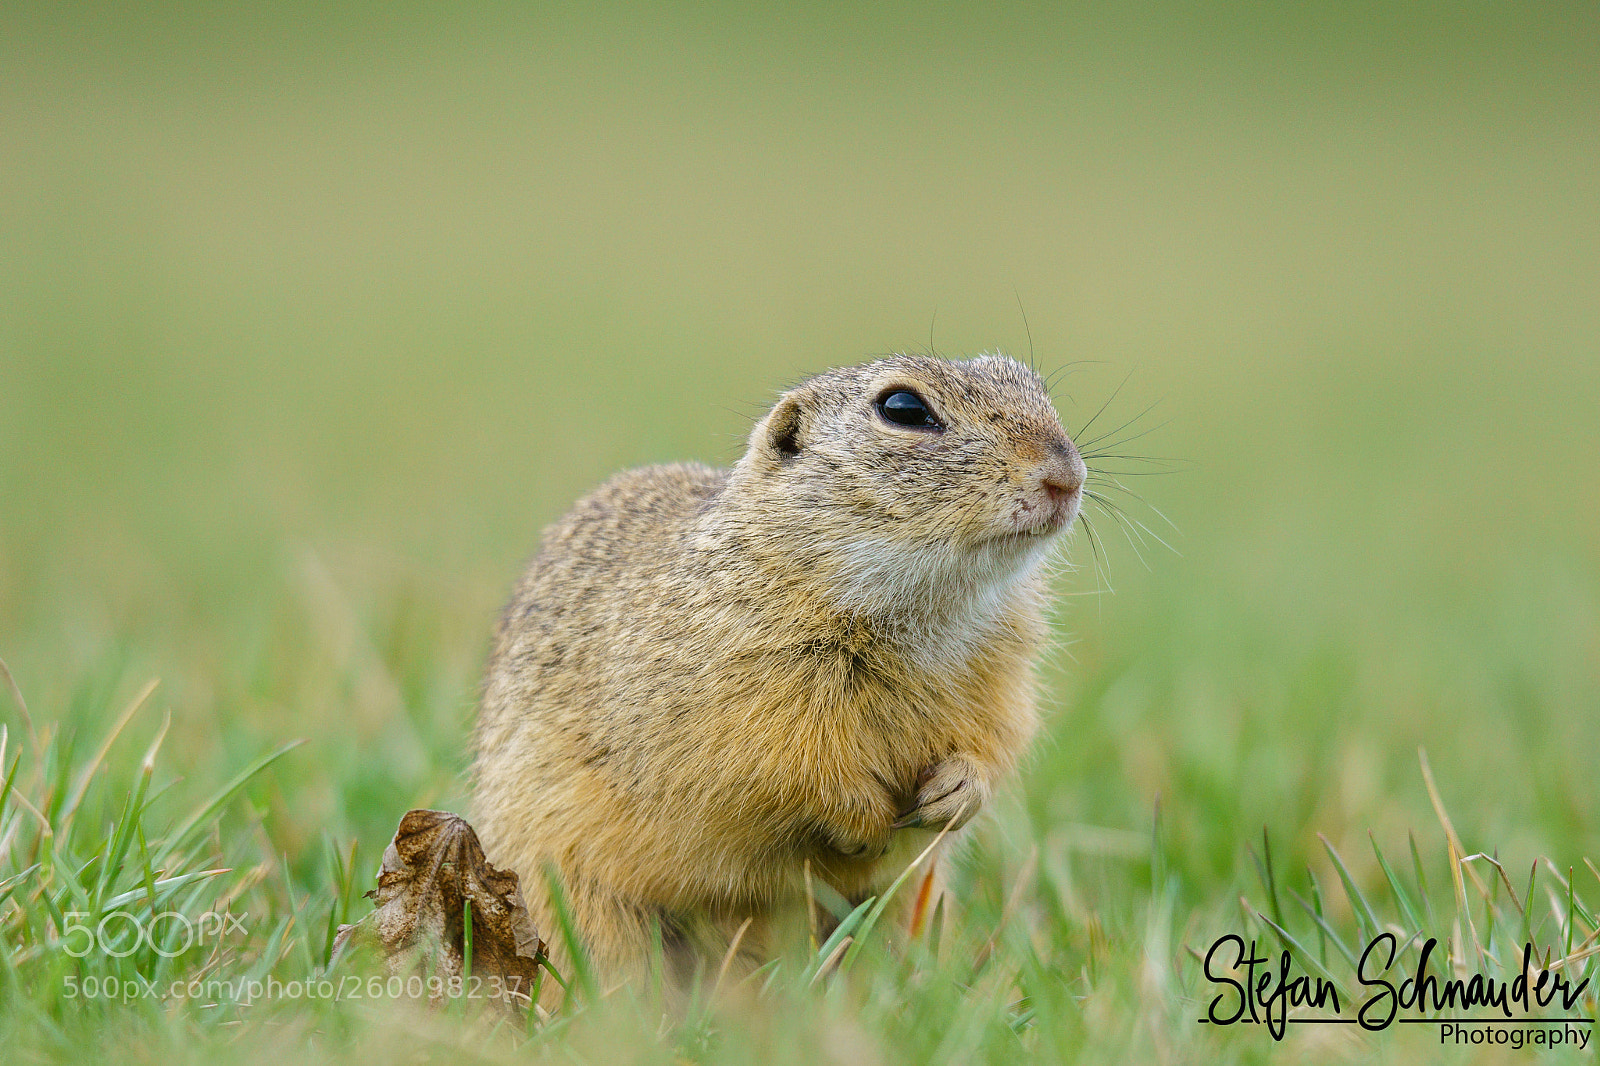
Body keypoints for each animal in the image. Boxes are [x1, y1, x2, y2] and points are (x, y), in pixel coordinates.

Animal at [471, 352, 1085, 998]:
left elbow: (1001, 738)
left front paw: (960, 790)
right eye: (903, 409)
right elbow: (782, 766)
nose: (1065, 476)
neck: (927, 610)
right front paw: (862, 818)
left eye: (1031, 382)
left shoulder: (1003, 678)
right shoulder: (737, 694)